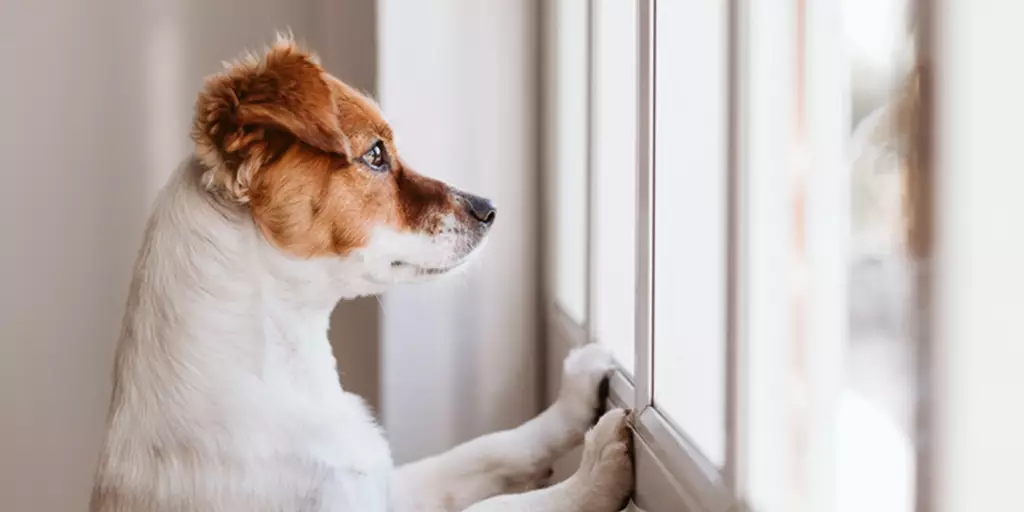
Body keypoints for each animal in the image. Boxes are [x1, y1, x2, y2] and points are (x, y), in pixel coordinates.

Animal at [90, 36, 630, 512]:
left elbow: (485, 450)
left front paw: (573, 399)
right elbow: (500, 506)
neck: (284, 372)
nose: (489, 209)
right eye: (374, 155)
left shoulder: (387, 487)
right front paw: (595, 473)